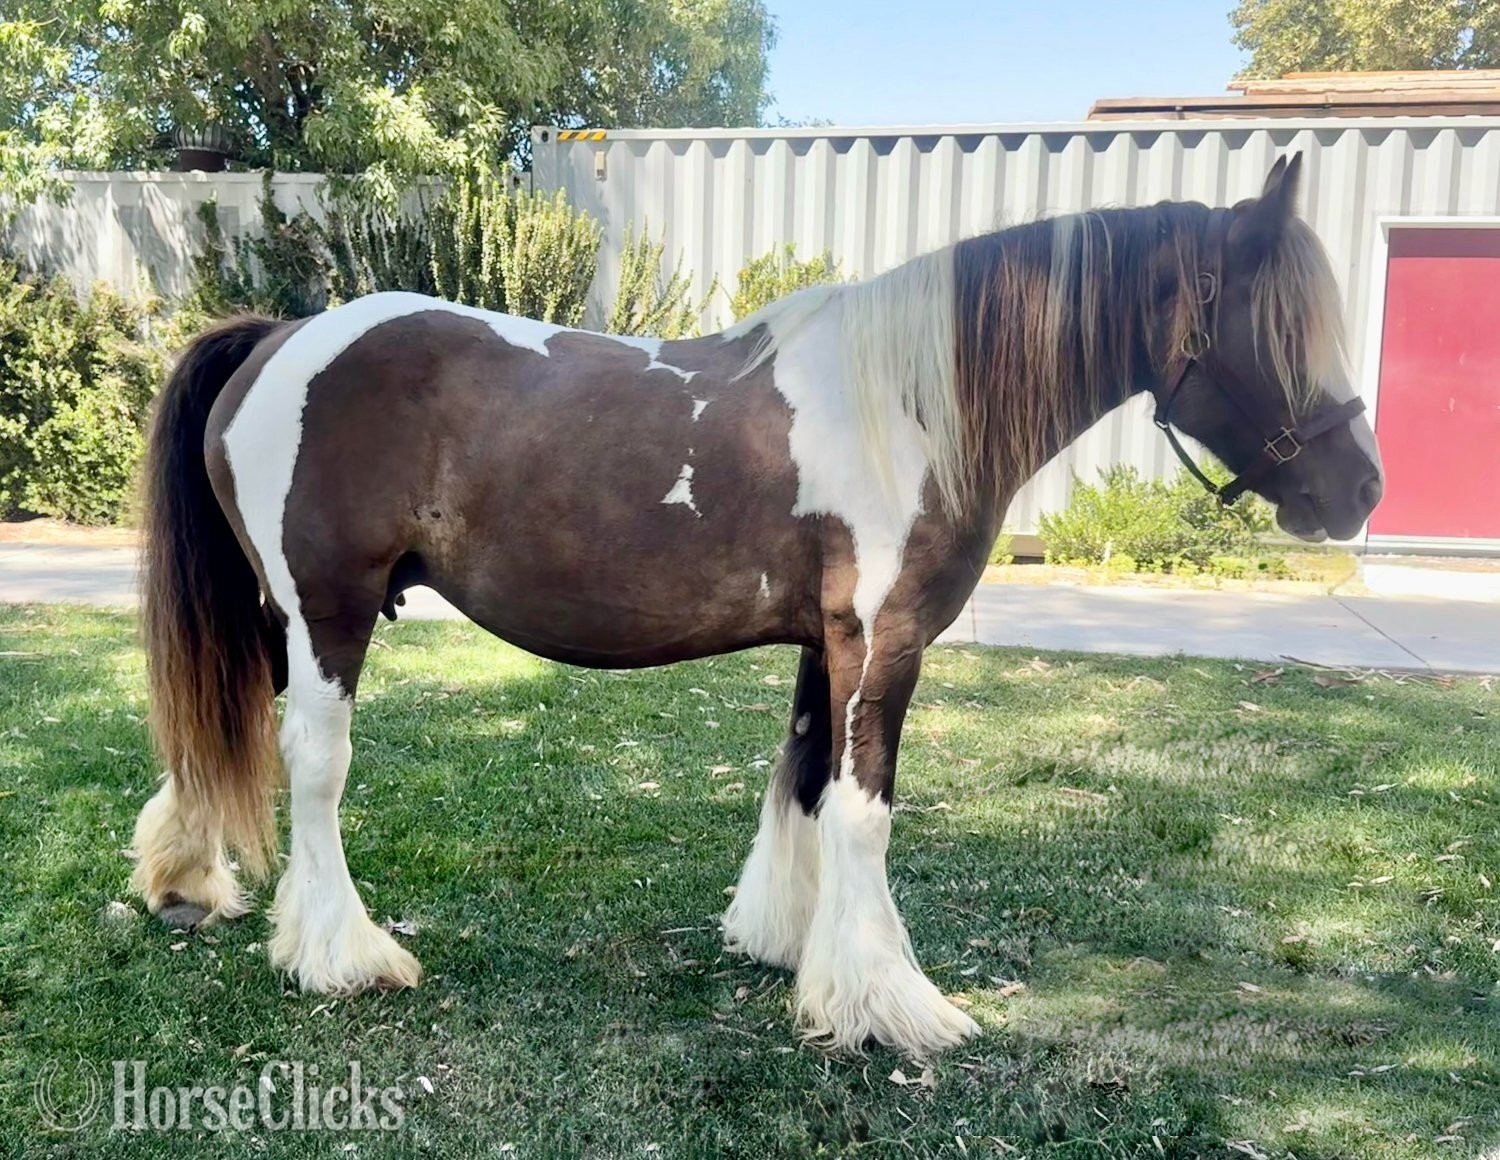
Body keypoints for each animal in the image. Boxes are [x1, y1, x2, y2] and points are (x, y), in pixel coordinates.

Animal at [131, 154, 1381, 1060]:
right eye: (1277, 330)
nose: (1361, 488)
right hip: (327, 612)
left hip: (279, 616)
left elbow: (806, 782)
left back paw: (188, 881)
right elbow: (864, 811)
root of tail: (280, 336)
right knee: (313, 764)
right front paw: (890, 1001)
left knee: (219, 733)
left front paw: (795, 950)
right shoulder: (885, 641)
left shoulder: (827, 644)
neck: (908, 402)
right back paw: (338, 951)